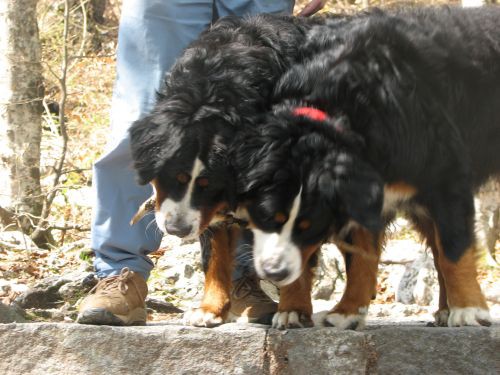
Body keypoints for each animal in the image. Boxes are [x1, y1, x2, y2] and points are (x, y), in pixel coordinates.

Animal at [128, 13, 328, 328]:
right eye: (174, 178)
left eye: (207, 184)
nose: (177, 229)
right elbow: (215, 254)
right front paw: (210, 309)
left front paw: (293, 308)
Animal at [235, 5, 500, 328]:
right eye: (268, 217)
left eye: (309, 226)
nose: (276, 272)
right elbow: (361, 256)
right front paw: (346, 311)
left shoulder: (443, 174)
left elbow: (454, 249)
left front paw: (470, 310)